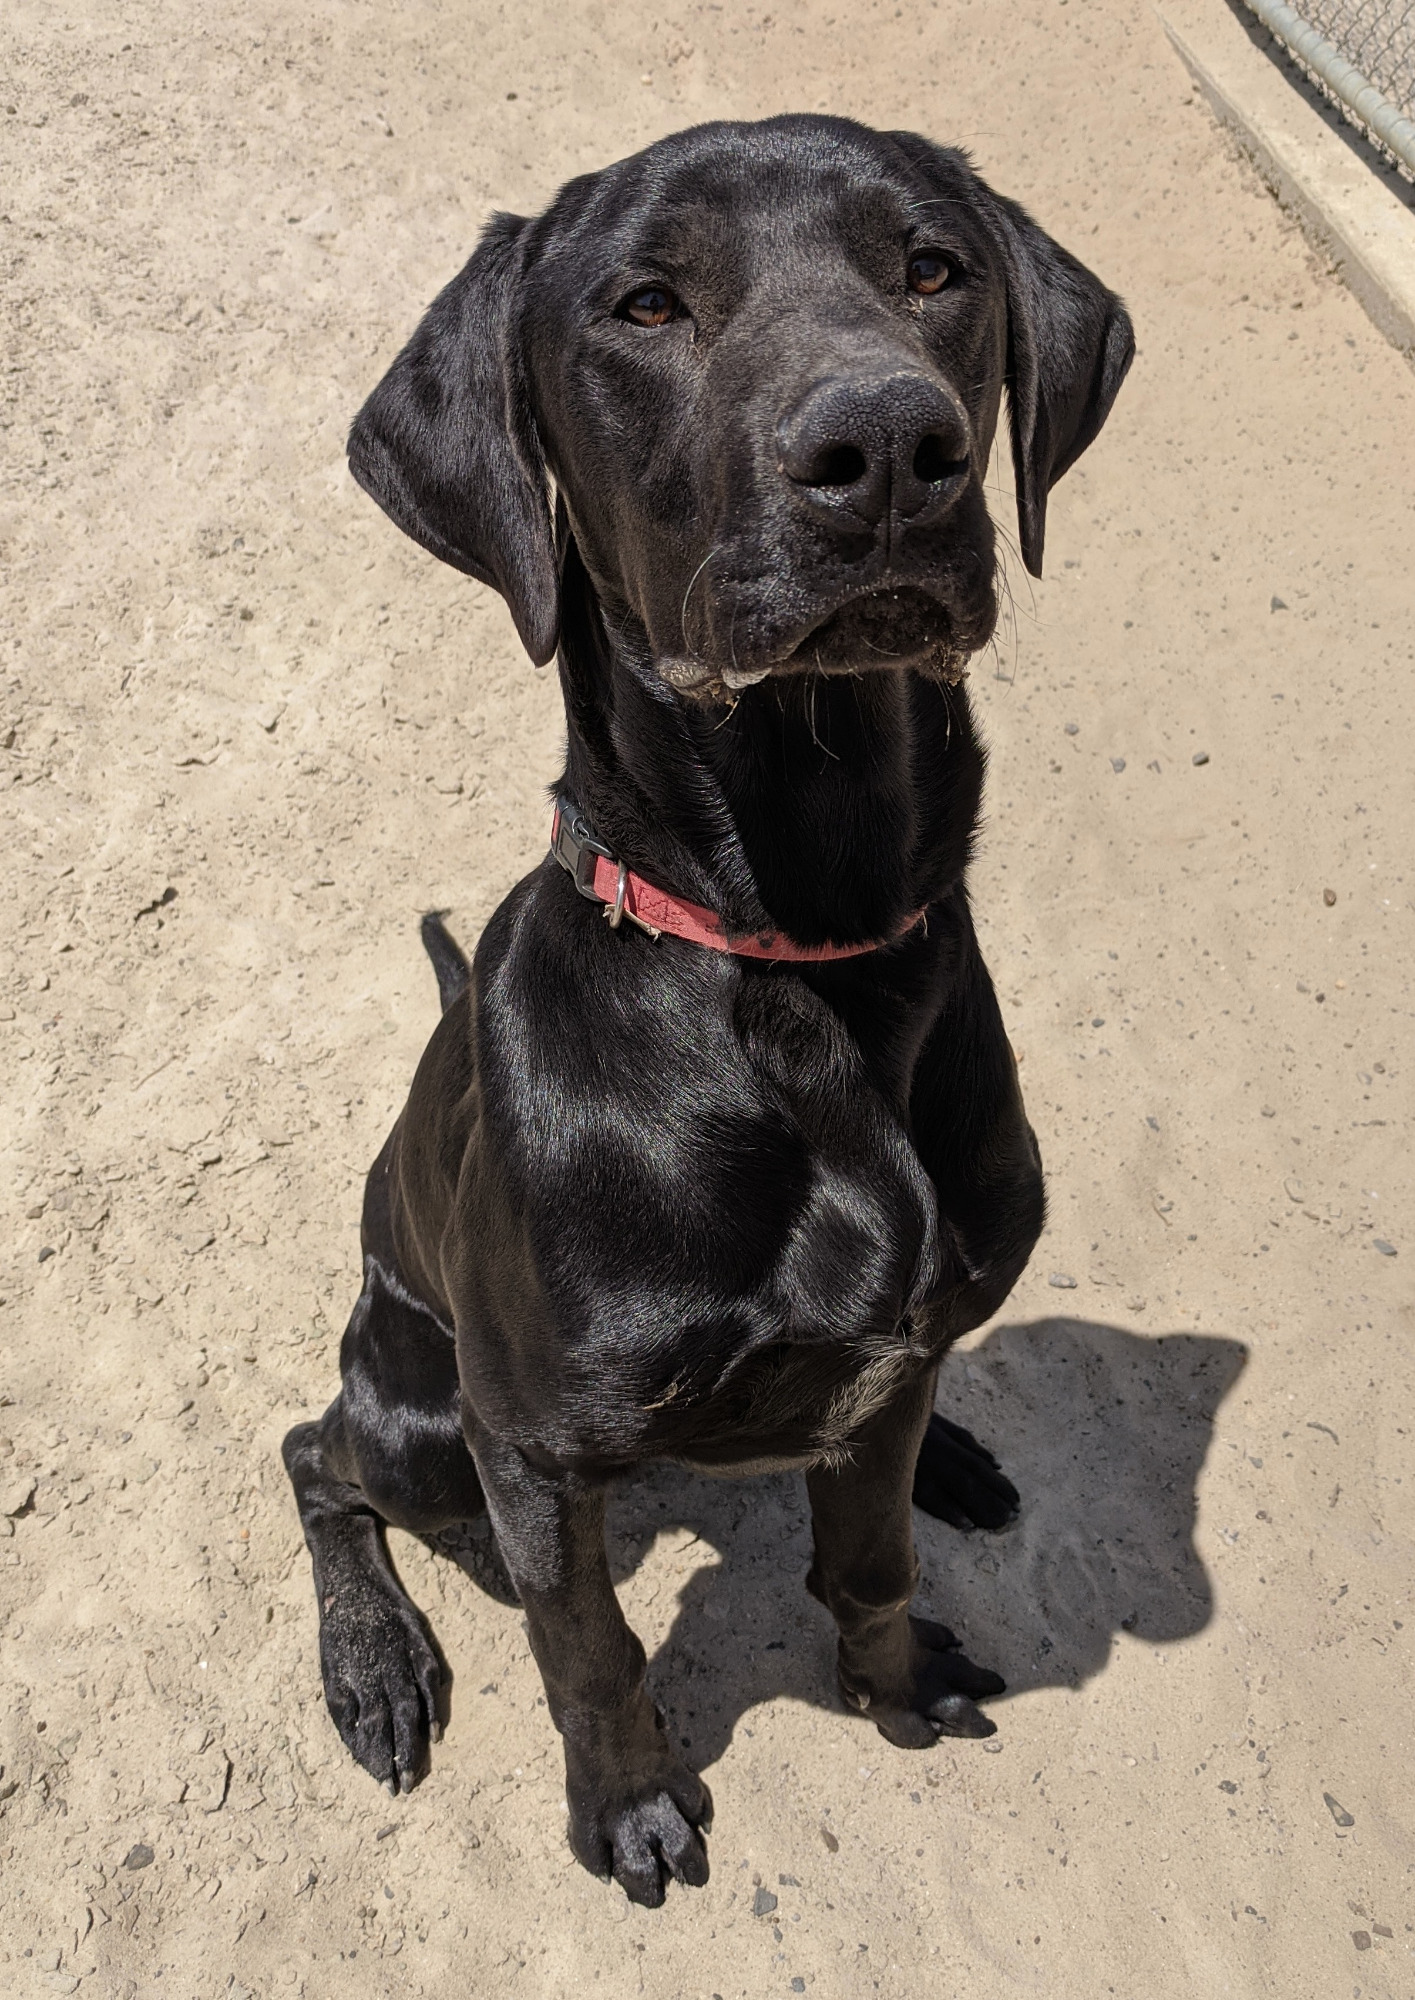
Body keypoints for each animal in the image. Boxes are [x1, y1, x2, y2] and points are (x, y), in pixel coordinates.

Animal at [281, 117, 1135, 1912]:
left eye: (933, 266)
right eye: (645, 304)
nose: (886, 448)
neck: (804, 968)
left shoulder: (889, 1359)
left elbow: (868, 1558)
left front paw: (890, 1683)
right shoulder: (535, 1453)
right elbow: (591, 1653)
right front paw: (628, 1806)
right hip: (419, 1413)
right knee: (312, 1452)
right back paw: (373, 1665)